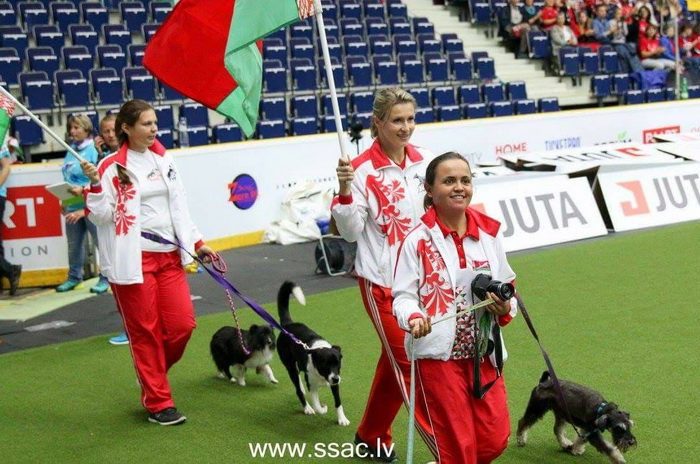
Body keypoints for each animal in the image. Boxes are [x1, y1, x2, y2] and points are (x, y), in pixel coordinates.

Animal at [276, 280, 350, 426]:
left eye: (337, 363)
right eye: (325, 365)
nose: (335, 379)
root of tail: (287, 325)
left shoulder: (335, 382)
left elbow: (338, 402)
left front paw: (342, 419)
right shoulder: (312, 385)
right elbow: (317, 406)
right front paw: (323, 408)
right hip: (289, 364)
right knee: (298, 388)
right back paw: (307, 408)